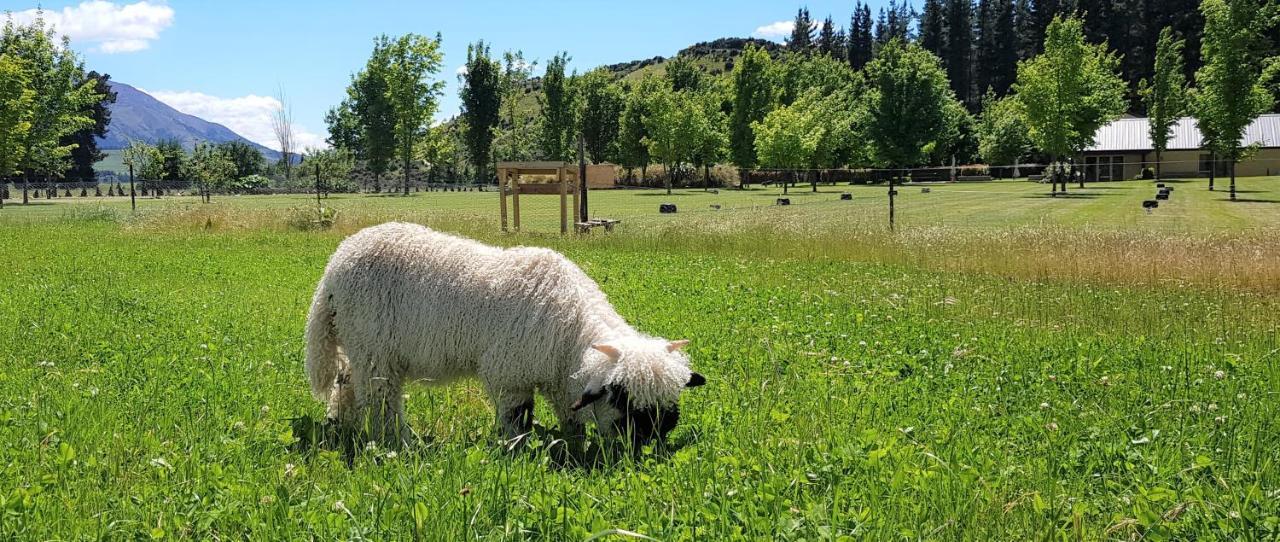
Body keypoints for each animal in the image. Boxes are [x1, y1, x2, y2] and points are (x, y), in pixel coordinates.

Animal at [307, 222, 711, 448]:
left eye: (670, 406)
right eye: (625, 402)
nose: (648, 450)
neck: (571, 327)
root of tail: (334, 266)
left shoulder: (558, 377)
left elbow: (570, 417)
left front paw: (574, 445)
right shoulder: (510, 375)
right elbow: (518, 419)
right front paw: (515, 449)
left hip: (359, 344)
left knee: (348, 383)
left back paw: (342, 423)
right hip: (375, 349)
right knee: (381, 400)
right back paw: (396, 441)